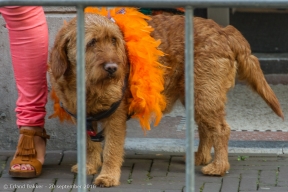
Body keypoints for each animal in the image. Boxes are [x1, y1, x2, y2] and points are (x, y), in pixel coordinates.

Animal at [49, 13, 284, 188]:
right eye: (91, 43)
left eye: (114, 40)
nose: (113, 68)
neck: (87, 86)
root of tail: (225, 31)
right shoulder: (84, 118)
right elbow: (89, 145)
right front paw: (88, 167)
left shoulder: (115, 118)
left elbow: (112, 150)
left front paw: (107, 176)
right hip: (197, 97)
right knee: (206, 128)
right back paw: (200, 157)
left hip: (206, 95)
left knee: (221, 129)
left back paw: (218, 167)